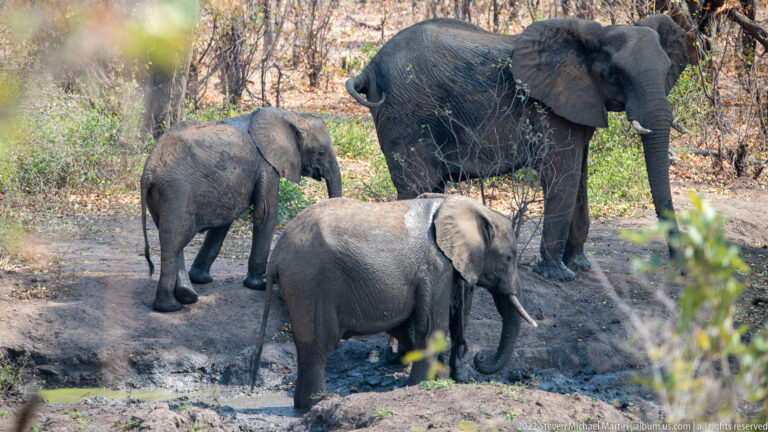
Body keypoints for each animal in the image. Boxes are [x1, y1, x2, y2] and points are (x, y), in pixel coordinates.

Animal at [140, 107, 342, 312]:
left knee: (173, 239)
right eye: (320, 152)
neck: (289, 115)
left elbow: (224, 221)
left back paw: (186, 296)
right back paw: (171, 307)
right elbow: (266, 213)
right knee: (173, 241)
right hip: (177, 190)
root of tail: (149, 169)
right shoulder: (266, 165)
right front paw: (259, 285)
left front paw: (201, 279)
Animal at [250, 194, 538, 409]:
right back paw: (320, 403)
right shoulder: (436, 267)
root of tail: (277, 255)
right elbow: (431, 327)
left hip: (299, 285)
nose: (480, 357)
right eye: (510, 257)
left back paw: (302, 406)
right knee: (319, 344)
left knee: (305, 346)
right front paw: (422, 386)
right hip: (309, 281)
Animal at [345, 15, 689, 281]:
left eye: (668, 70)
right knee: (413, 186)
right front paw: (558, 274)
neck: (593, 37)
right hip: (406, 113)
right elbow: (563, 175)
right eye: (616, 74)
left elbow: (579, 177)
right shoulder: (550, 107)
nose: (678, 265)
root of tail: (369, 67)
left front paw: (580, 265)